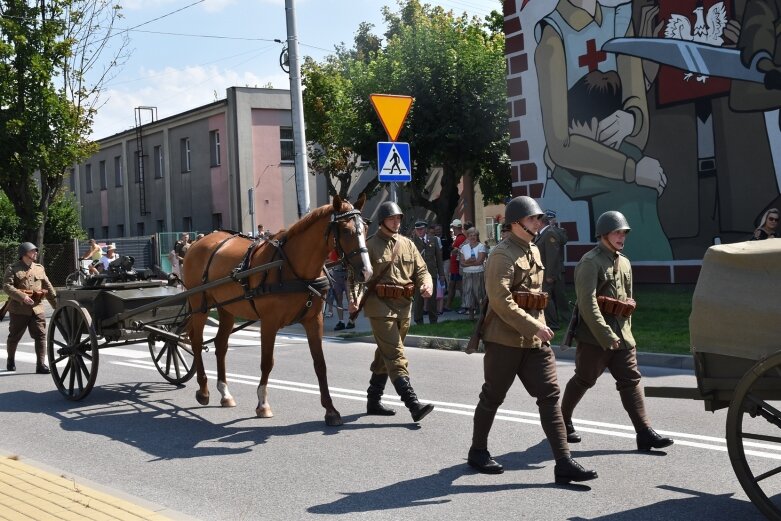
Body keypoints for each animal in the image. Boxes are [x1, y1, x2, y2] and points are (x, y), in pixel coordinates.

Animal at [180, 195, 372, 426]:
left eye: (366, 228)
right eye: (345, 230)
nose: (366, 272)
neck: (292, 267)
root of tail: (198, 242)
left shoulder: (313, 320)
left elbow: (320, 364)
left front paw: (331, 410)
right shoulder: (269, 322)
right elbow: (267, 362)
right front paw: (263, 404)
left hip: (226, 308)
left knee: (221, 345)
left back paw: (225, 393)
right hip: (200, 304)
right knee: (197, 342)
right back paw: (204, 390)